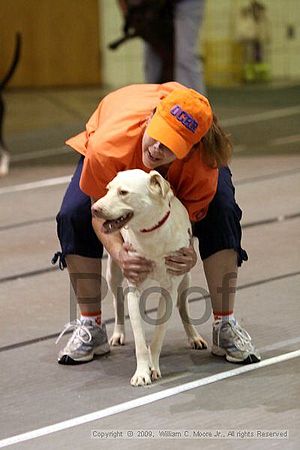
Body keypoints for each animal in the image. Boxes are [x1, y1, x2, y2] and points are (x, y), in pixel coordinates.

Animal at [92, 170, 207, 386]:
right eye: (107, 189)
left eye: (123, 192)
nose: (94, 209)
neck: (149, 233)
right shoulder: (134, 286)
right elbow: (139, 339)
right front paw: (142, 373)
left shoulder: (169, 290)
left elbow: (157, 336)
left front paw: (153, 367)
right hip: (113, 271)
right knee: (118, 300)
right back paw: (118, 333)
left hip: (185, 279)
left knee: (183, 307)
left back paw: (194, 337)